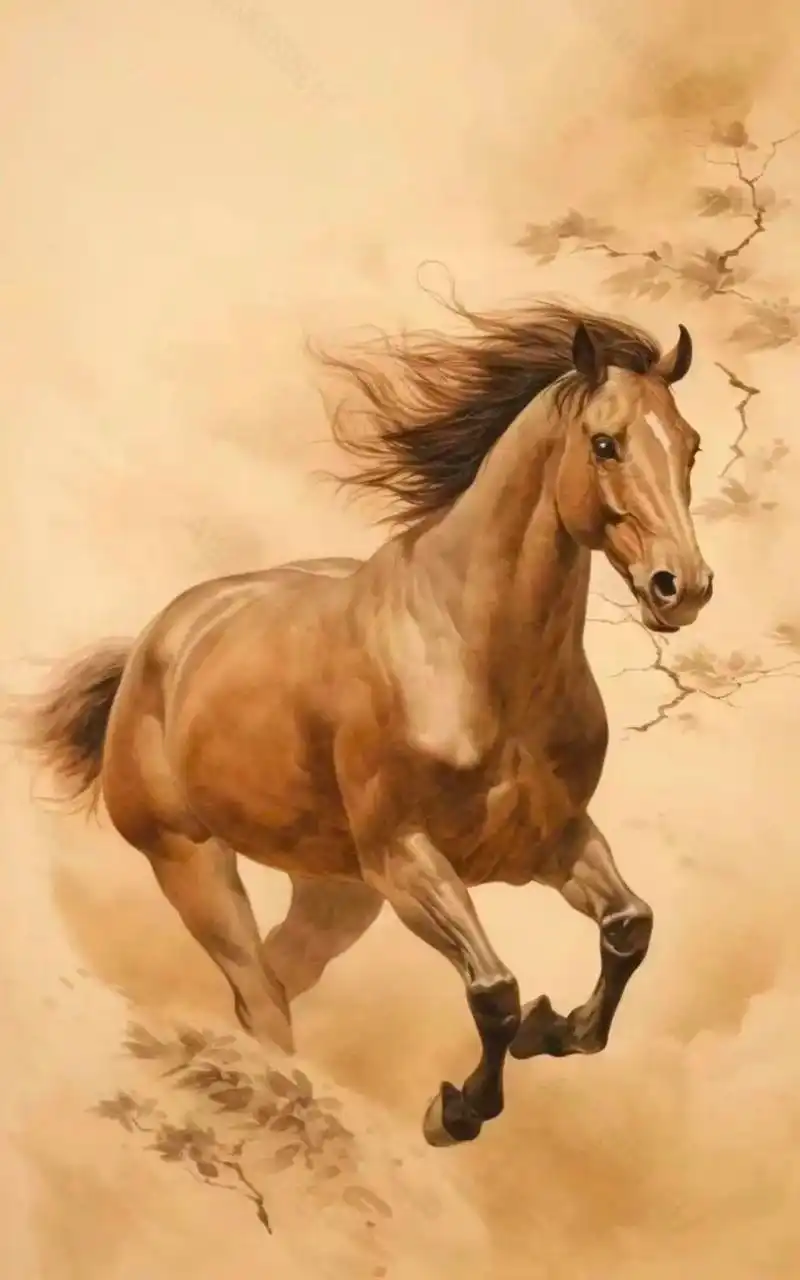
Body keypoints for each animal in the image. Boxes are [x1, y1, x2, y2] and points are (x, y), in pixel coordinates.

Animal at [18, 299, 713, 1149]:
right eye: (605, 442)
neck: (477, 660)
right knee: (261, 995)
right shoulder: (405, 858)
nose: (682, 587)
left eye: (689, 444)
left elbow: (628, 928)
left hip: (335, 894)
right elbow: (494, 991)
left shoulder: (553, 841)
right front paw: (456, 1110)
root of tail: (159, 642)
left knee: (277, 977)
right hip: (193, 864)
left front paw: (554, 1028)